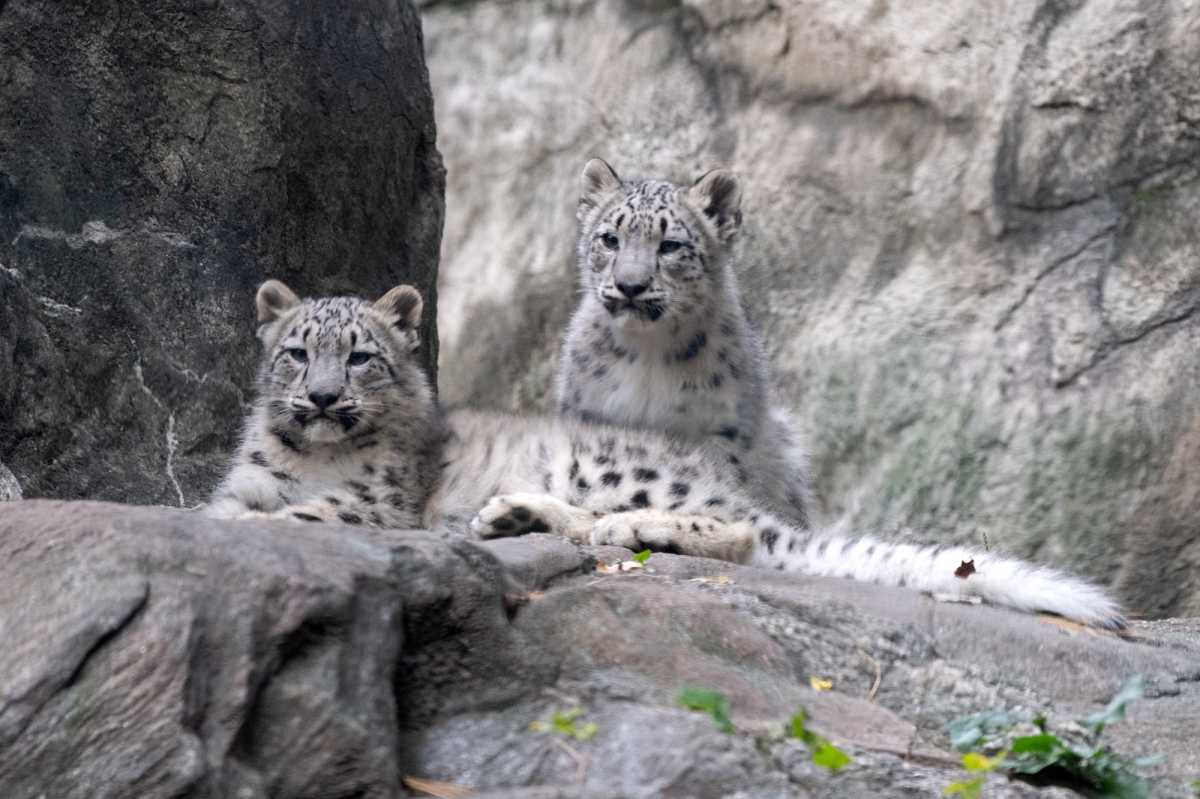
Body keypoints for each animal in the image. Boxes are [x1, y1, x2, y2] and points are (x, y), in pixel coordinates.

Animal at [208, 280, 1126, 630]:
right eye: (298, 352)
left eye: (362, 356)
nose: (324, 400)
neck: (302, 454)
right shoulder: (244, 482)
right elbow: (223, 507)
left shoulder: (374, 502)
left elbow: (314, 510)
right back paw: (512, 513)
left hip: (615, 466)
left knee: (738, 532)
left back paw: (615, 528)